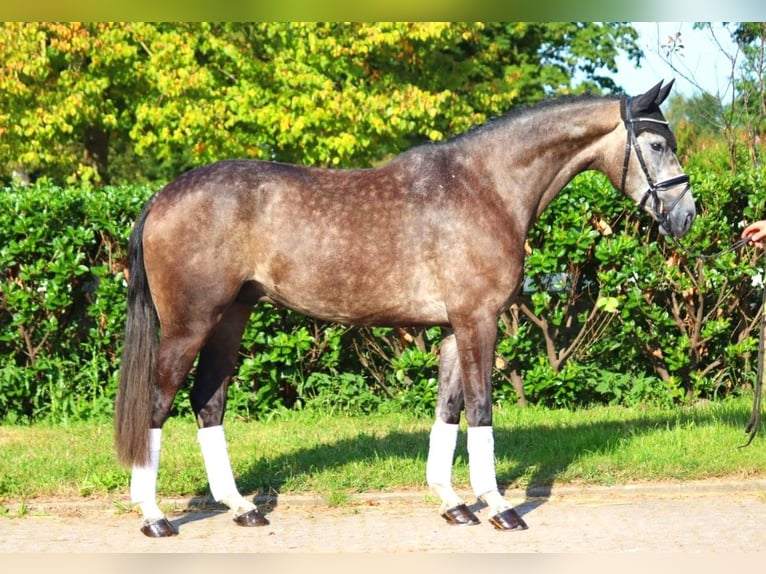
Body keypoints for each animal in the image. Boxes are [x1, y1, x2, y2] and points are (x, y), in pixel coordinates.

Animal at [114, 81, 696, 540]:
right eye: (656, 143)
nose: (687, 216)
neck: (485, 187)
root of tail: (160, 198)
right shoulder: (478, 321)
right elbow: (481, 409)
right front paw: (500, 507)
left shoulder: (453, 328)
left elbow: (448, 410)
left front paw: (454, 504)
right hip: (189, 326)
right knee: (157, 403)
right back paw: (155, 516)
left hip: (230, 318)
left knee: (208, 402)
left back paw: (241, 508)